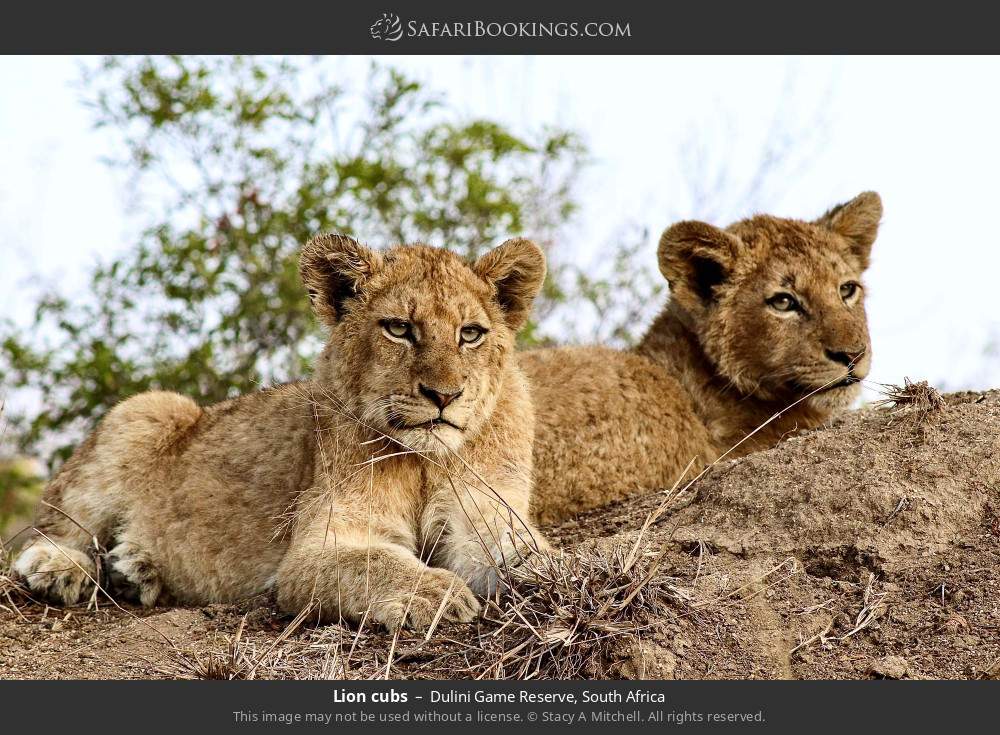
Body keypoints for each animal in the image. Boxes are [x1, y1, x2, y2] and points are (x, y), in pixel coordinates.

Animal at [14, 234, 549, 631]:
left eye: (470, 334)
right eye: (398, 328)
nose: (444, 395)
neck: (424, 458)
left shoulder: (482, 510)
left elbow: (510, 549)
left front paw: (546, 568)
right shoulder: (317, 547)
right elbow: (376, 564)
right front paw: (437, 593)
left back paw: (132, 569)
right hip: (150, 408)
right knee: (50, 529)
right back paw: (58, 569)